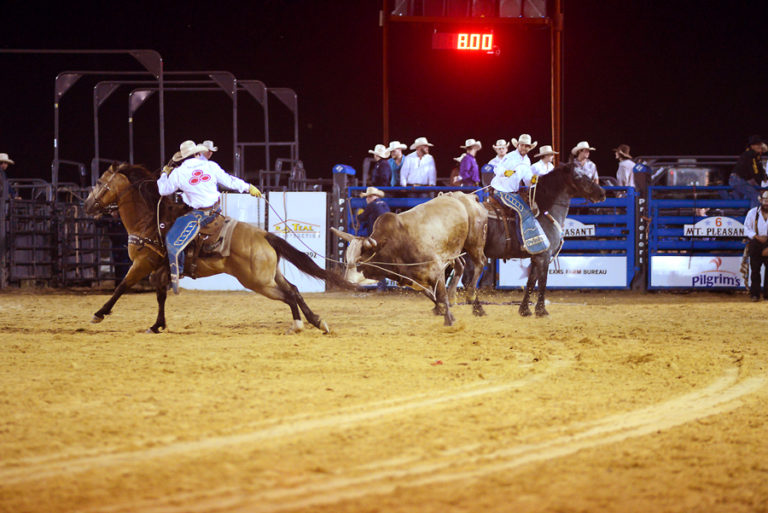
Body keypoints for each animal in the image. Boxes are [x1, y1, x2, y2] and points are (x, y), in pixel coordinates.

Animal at [83, 162, 352, 334]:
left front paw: (99, 313)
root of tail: (264, 234)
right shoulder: (160, 269)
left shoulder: (142, 263)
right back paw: (316, 321)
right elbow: (160, 295)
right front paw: (157, 325)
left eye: (98, 182)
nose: (86, 206)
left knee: (288, 295)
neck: (149, 221)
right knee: (294, 290)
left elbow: (122, 286)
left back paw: (298, 324)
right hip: (270, 275)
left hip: (257, 282)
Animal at [468, 163, 608, 316]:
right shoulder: (544, 256)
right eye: (578, 176)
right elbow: (542, 282)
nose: (602, 193)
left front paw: (524, 310)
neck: (545, 211)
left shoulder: (536, 257)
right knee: (470, 281)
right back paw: (478, 309)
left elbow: (530, 282)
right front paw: (541, 310)